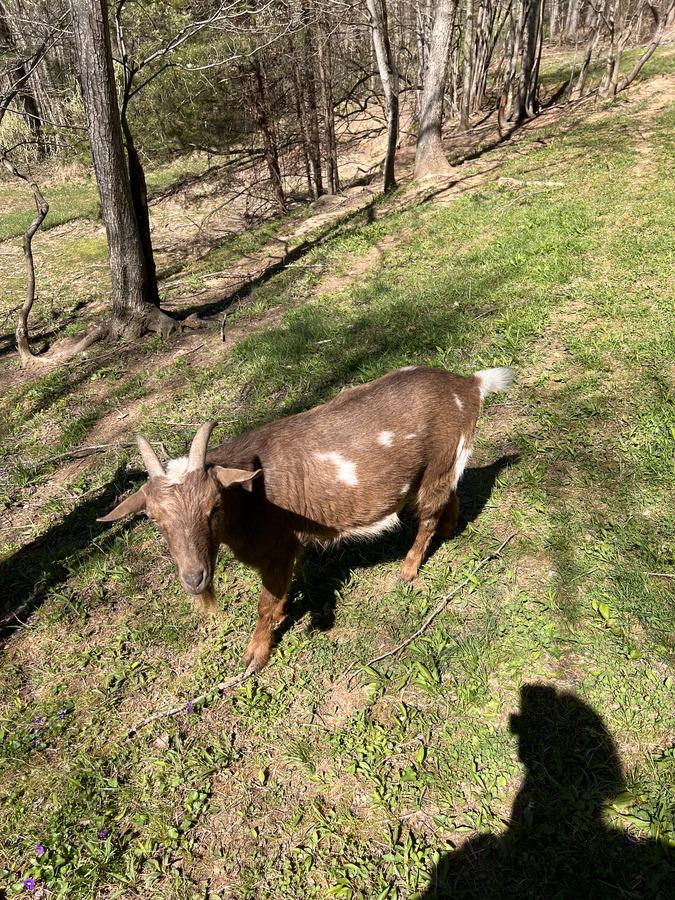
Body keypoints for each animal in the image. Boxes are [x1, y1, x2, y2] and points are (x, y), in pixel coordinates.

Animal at [98, 365, 514, 671]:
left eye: (213, 506)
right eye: (153, 518)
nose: (194, 578)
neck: (251, 496)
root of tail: (470, 384)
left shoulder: (278, 549)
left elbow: (265, 604)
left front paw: (255, 656)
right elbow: (281, 594)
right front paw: (282, 615)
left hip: (437, 464)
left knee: (427, 518)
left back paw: (409, 570)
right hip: (439, 469)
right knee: (449, 497)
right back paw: (450, 529)